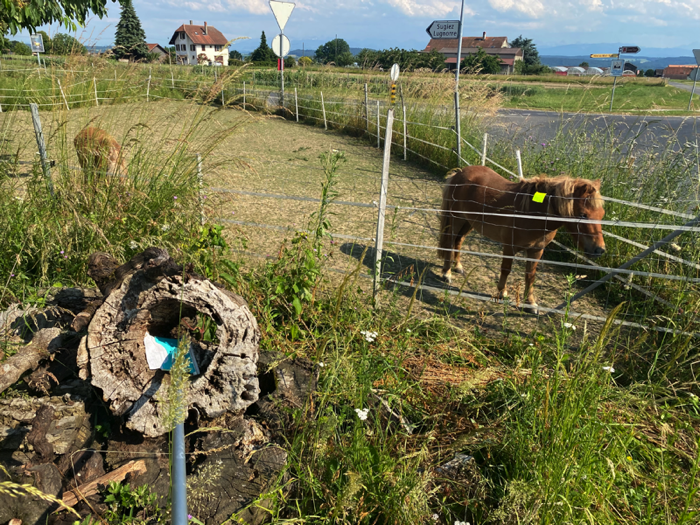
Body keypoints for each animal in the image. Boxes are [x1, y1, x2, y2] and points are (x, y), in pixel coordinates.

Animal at [438, 166, 608, 310]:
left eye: (602, 214)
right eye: (583, 215)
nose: (599, 250)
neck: (533, 213)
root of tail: (460, 172)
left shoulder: (536, 250)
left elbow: (530, 275)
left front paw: (530, 303)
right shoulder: (509, 247)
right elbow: (506, 269)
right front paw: (501, 293)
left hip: (469, 222)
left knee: (458, 241)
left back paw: (458, 267)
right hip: (456, 219)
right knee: (450, 242)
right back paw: (447, 273)